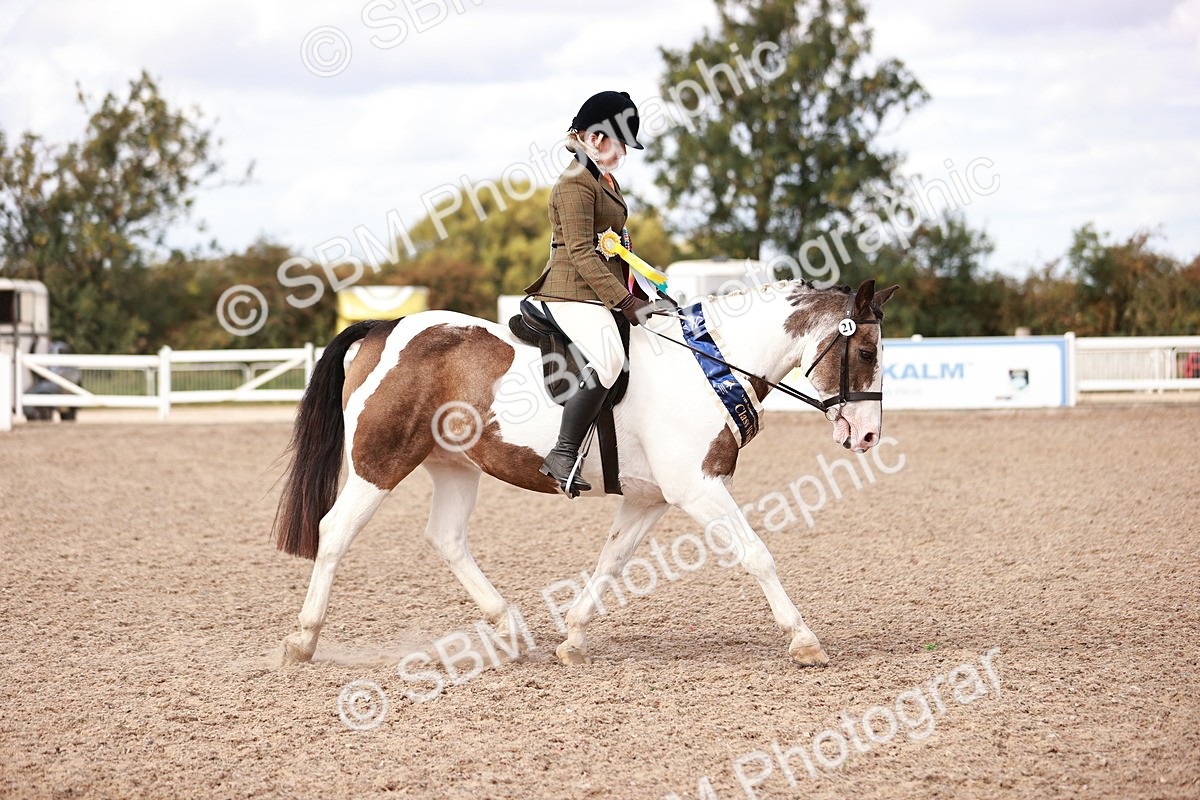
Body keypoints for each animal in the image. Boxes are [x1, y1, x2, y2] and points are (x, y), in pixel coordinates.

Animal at [274, 278, 898, 668]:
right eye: (867, 352)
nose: (867, 436)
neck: (710, 365)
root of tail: (385, 328)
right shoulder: (698, 488)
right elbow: (756, 554)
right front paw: (804, 640)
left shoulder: (651, 497)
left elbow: (612, 561)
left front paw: (572, 638)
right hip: (378, 463)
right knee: (335, 532)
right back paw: (302, 643)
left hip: (455, 466)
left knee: (446, 538)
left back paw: (511, 629)